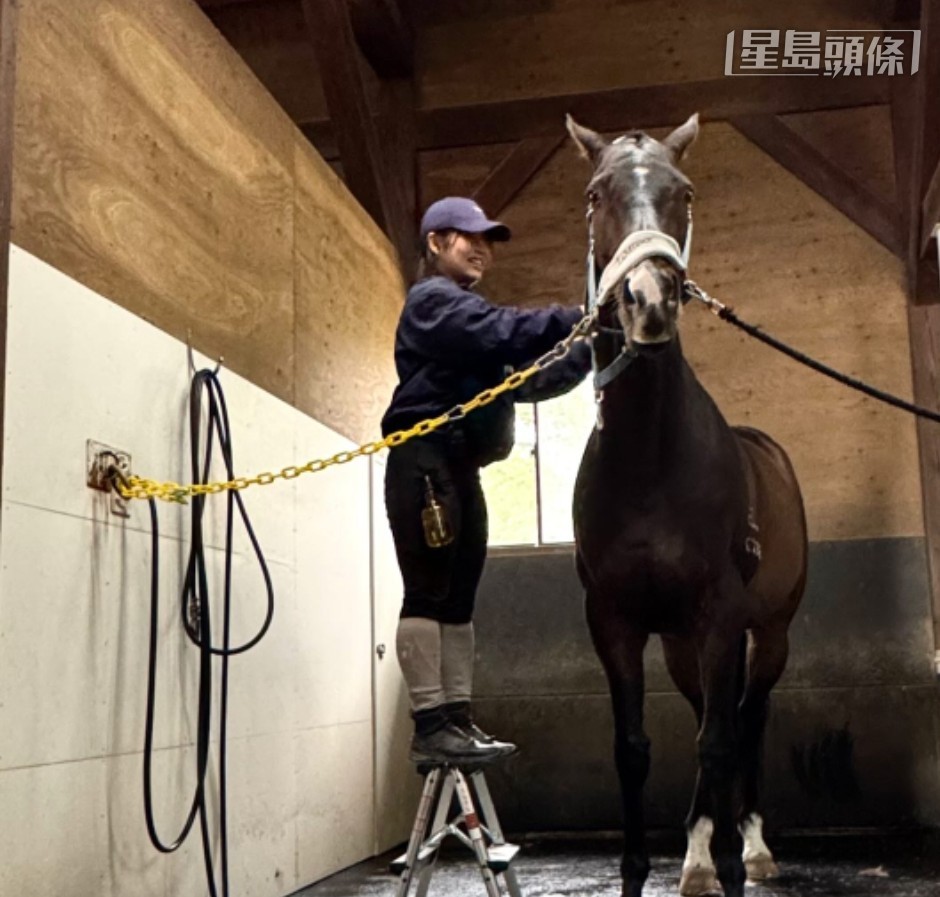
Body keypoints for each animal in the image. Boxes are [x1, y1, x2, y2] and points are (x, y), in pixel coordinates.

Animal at [566, 112, 808, 897]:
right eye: (595, 193)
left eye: (686, 191)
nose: (648, 299)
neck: (648, 464)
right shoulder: (615, 621)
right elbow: (635, 746)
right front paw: (652, 866)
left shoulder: (723, 616)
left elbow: (722, 741)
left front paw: (734, 860)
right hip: (681, 643)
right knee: (716, 716)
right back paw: (701, 850)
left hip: (767, 634)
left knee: (747, 721)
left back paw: (751, 844)